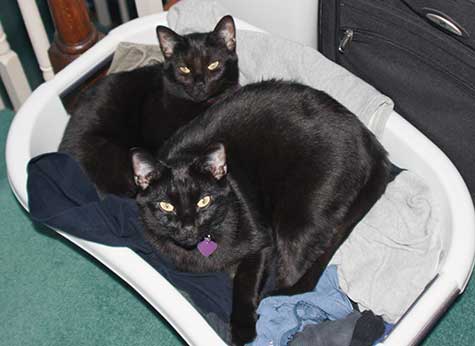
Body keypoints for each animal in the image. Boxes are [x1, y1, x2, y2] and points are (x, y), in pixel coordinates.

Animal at [132, 80, 392, 344]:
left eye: (204, 201)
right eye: (166, 206)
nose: (188, 227)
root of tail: (373, 148)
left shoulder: (261, 243)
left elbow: (244, 283)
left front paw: (243, 328)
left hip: (296, 222)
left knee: (300, 285)